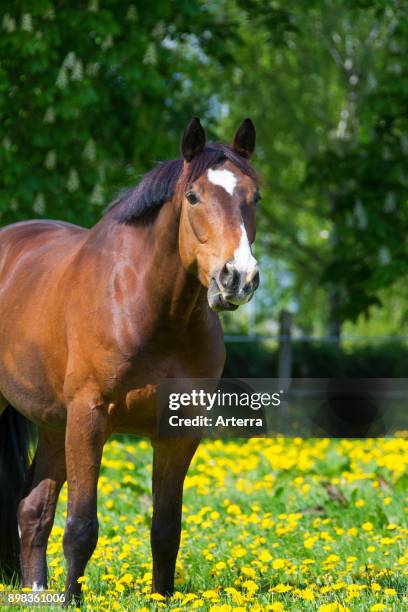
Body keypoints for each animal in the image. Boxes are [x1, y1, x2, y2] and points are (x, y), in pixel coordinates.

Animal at [0, 117, 260, 600]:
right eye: (193, 196)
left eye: (255, 198)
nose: (238, 278)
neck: (153, 312)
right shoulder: (89, 419)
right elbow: (81, 527)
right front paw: (72, 601)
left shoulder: (178, 431)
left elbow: (166, 529)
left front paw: (162, 597)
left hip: (53, 424)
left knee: (32, 511)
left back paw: (35, 593)